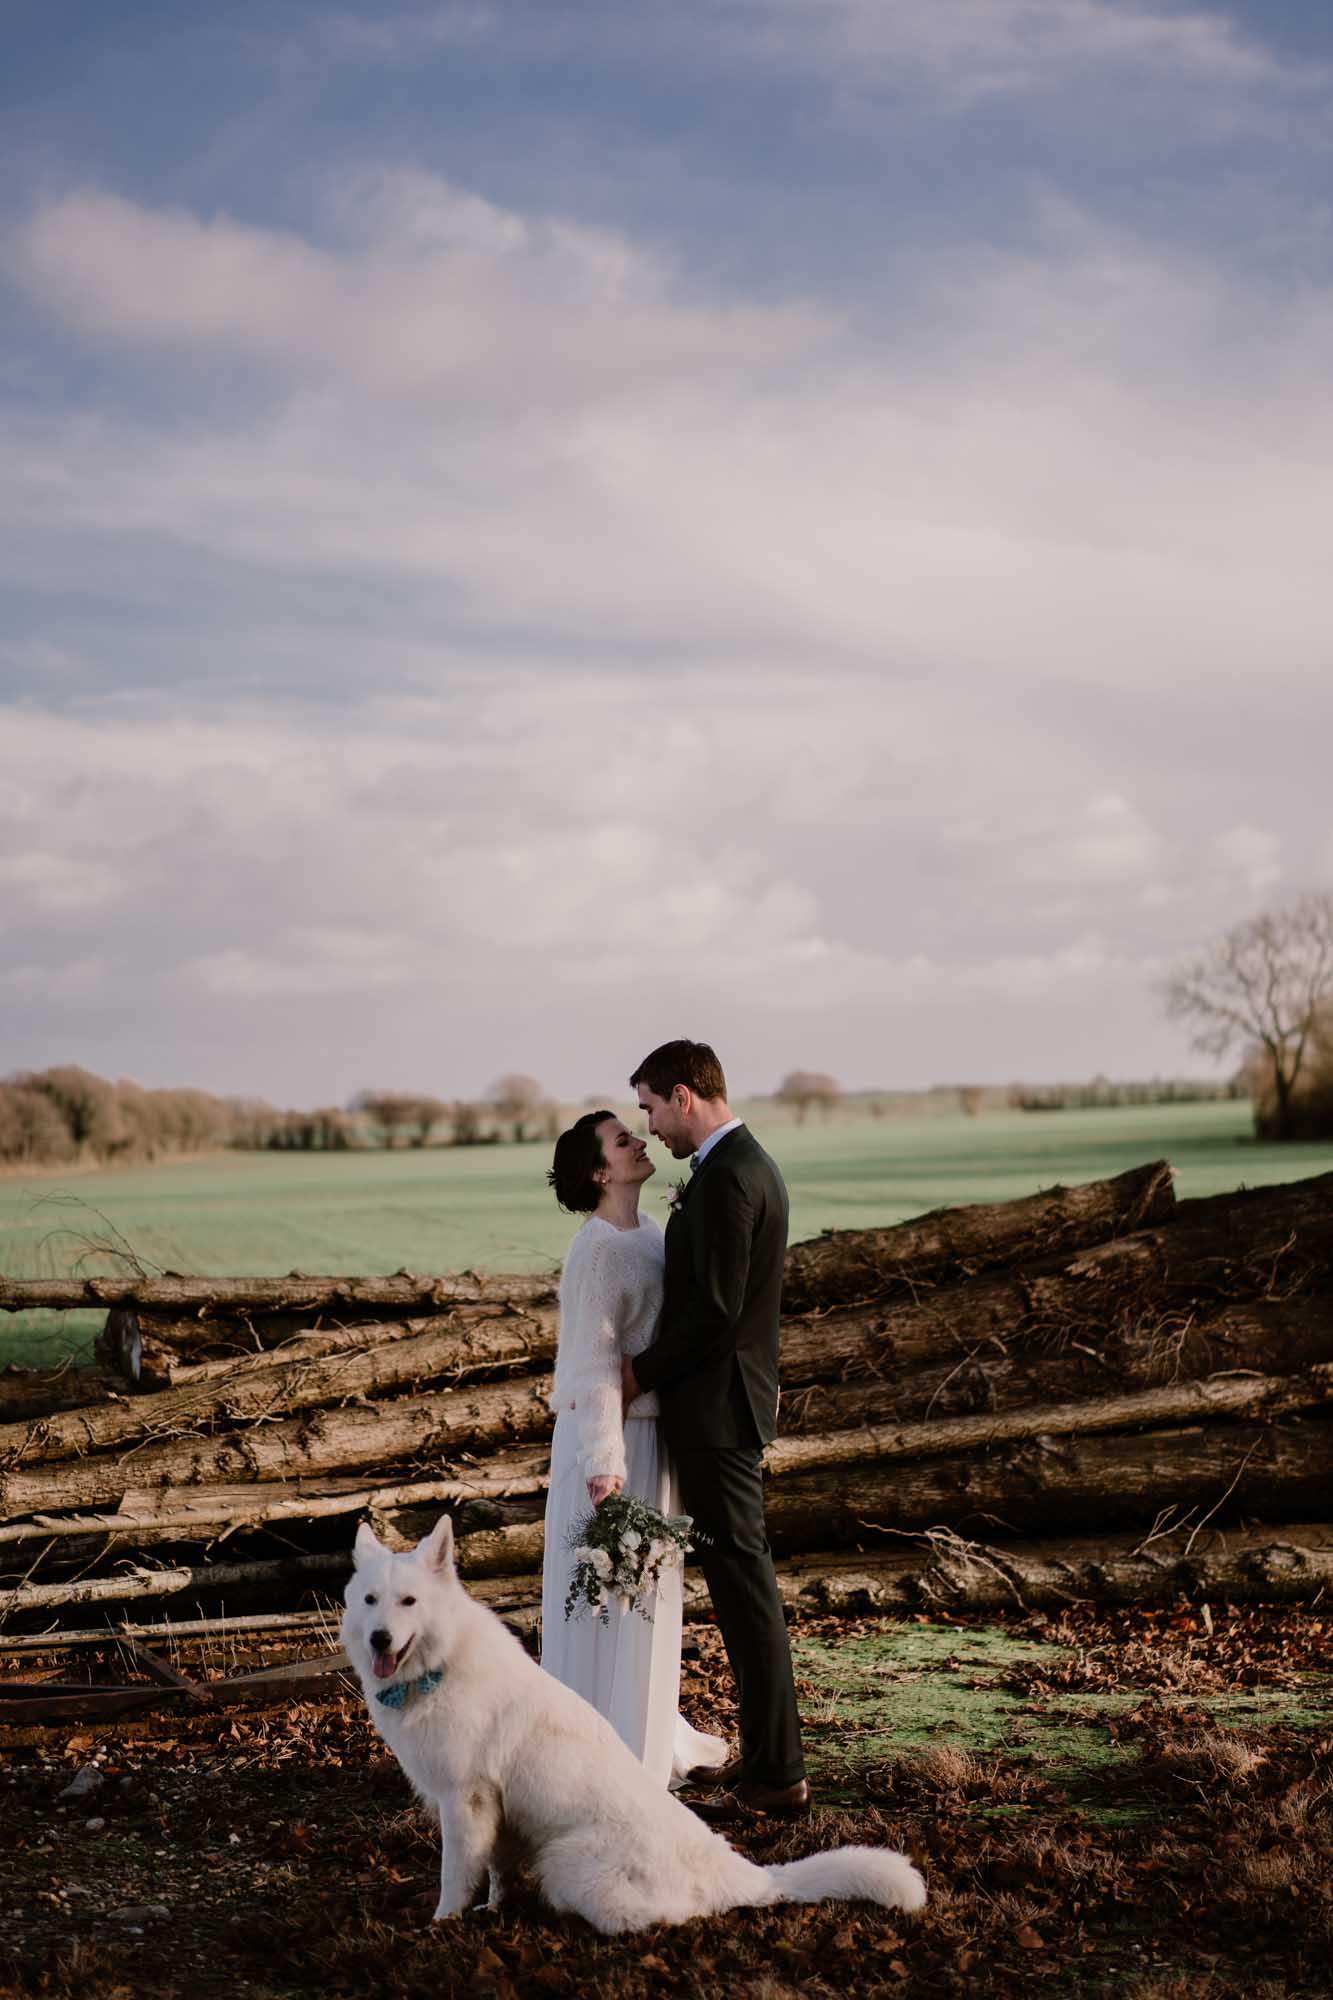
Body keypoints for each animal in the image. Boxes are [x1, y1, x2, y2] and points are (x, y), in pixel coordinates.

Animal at [342, 1512, 924, 1936]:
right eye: (370, 1601)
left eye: (409, 1602)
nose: (379, 1638)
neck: (442, 1664)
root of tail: (747, 1875)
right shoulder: (500, 1811)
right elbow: (498, 1872)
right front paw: (493, 1910)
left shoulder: (466, 1802)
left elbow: (457, 1874)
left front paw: (444, 1924)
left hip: (565, 1858)